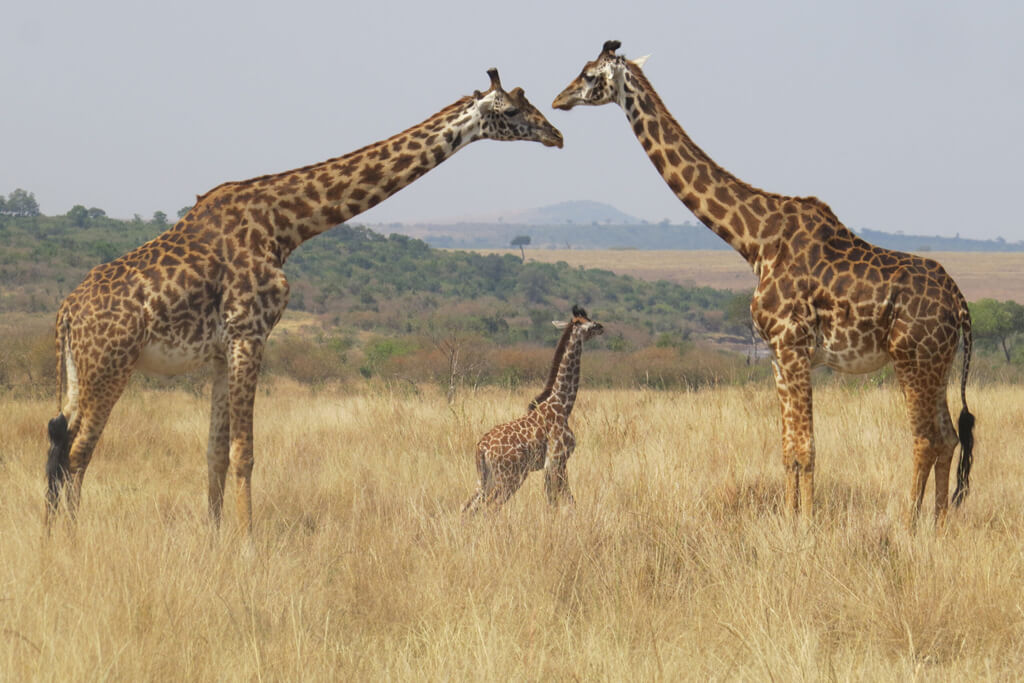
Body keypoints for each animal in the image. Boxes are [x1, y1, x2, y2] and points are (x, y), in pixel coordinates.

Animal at [45, 69, 563, 533]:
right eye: (512, 110)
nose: (555, 133)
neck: (285, 223)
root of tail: (67, 314)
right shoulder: (250, 334)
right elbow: (244, 453)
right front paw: (247, 545)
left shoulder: (221, 350)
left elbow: (214, 453)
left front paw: (214, 539)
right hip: (111, 365)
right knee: (79, 451)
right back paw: (73, 538)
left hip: (76, 372)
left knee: (57, 441)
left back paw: (52, 536)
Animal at [463, 306, 603, 513]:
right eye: (588, 323)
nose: (601, 327)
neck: (563, 404)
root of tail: (482, 447)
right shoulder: (556, 460)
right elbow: (563, 500)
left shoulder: (553, 464)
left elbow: (556, 500)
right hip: (510, 477)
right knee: (490, 508)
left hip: (485, 479)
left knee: (467, 507)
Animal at [552, 41, 975, 524]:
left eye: (589, 75)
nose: (559, 100)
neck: (754, 240)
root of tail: (960, 302)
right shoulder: (777, 354)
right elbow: (788, 448)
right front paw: (790, 520)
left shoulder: (793, 346)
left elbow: (807, 447)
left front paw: (807, 525)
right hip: (938, 362)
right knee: (949, 437)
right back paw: (938, 525)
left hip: (913, 359)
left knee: (925, 438)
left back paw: (908, 524)